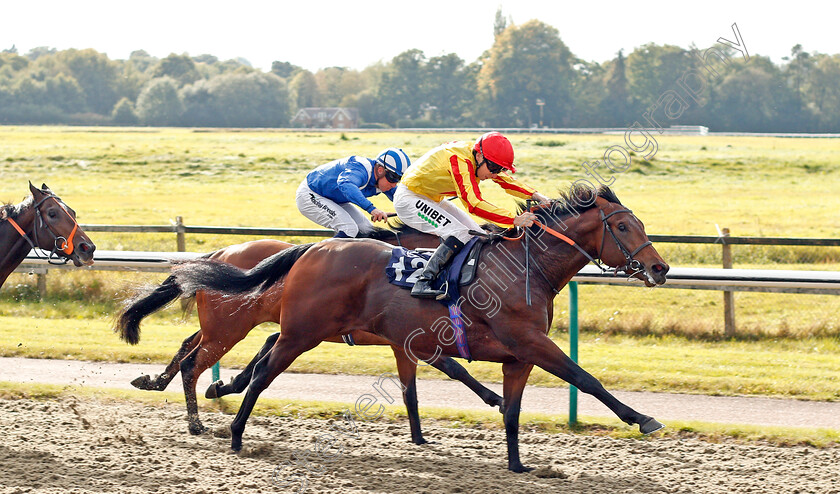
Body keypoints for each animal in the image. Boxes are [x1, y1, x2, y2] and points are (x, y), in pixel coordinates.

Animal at [115, 226, 502, 438]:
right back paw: (195, 422)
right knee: (192, 363)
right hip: (229, 328)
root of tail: (219, 252)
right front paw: (494, 398)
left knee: (188, 346)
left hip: (220, 326)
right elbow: (453, 367)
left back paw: (154, 382)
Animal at [169, 185, 668, 470]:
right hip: (295, 333)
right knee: (256, 371)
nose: (660, 268)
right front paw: (642, 418)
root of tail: (312, 249)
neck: (526, 267)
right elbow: (585, 378)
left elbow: (509, 411)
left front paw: (517, 466)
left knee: (236, 361)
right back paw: (233, 431)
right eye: (624, 226)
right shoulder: (529, 342)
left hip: (298, 331)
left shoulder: (516, 356)